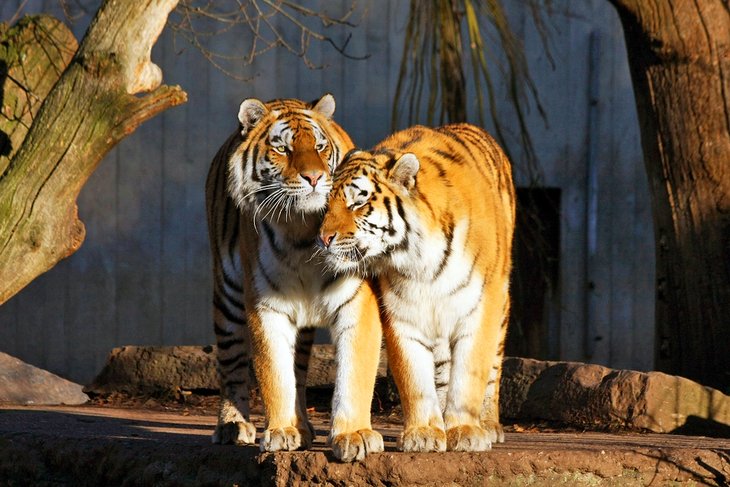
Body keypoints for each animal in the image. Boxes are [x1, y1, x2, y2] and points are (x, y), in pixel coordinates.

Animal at [205, 94, 384, 462]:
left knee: (299, 372)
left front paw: (355, 435)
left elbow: (354, 371)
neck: (302, 230)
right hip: (227, 294)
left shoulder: (357, 300)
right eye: (283, 149)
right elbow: (274, 373)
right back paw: (232, 426)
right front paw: (282, 432)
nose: (314, 177)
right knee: (232, 364)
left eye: (319, 146)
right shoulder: (266, 306)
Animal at [316, 123, 516, 454]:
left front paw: (465, 430)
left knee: (492, 370)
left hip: (499, 304)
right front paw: (424, 433)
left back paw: (488, 425)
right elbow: (415, 377)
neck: (417, 260)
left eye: (357, 202)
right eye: (325, 206)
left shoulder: (479, 307)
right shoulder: (402, 313)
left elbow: (470, 373)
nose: (323, 239)